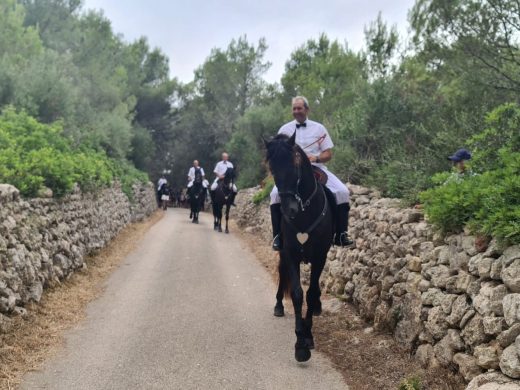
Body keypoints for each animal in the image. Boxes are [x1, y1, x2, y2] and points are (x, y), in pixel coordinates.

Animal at [264, 132, 334, 362]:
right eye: (272, 169)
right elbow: (296, 293)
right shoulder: (291, 254)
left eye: (295, 166)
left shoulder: (320, 256)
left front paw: (308, 335)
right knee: (282, 273)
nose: (290, 210)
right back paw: (278, 305)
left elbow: (311, 294)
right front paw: (300, 343)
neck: (305, 212)